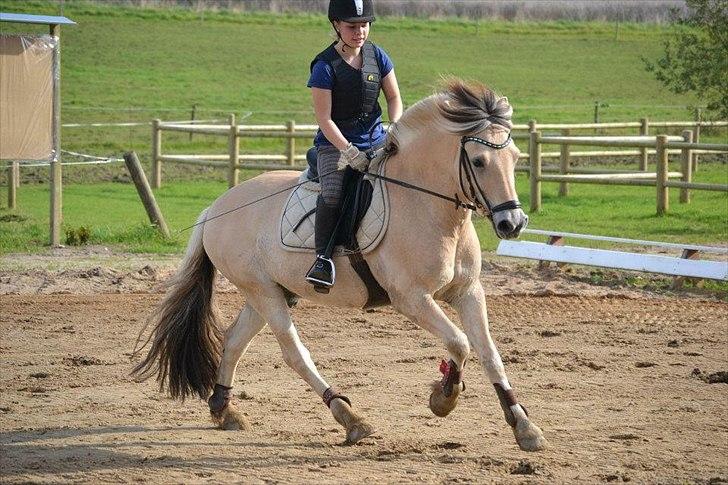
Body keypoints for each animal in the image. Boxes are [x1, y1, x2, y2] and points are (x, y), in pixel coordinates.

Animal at [132, 79, 547, 451]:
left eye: (516, 158)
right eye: (478, 161)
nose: (512, 223)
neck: (428, 207)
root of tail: (215, 208)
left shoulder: (468, 292)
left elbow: (490, 354)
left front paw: (524, 427)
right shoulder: (411, 298)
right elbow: (459, 343)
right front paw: (444, 397)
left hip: (267, 291)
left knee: (234, 341)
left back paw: (224, 409)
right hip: (264, 293)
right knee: (294, 354)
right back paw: (350, 418)